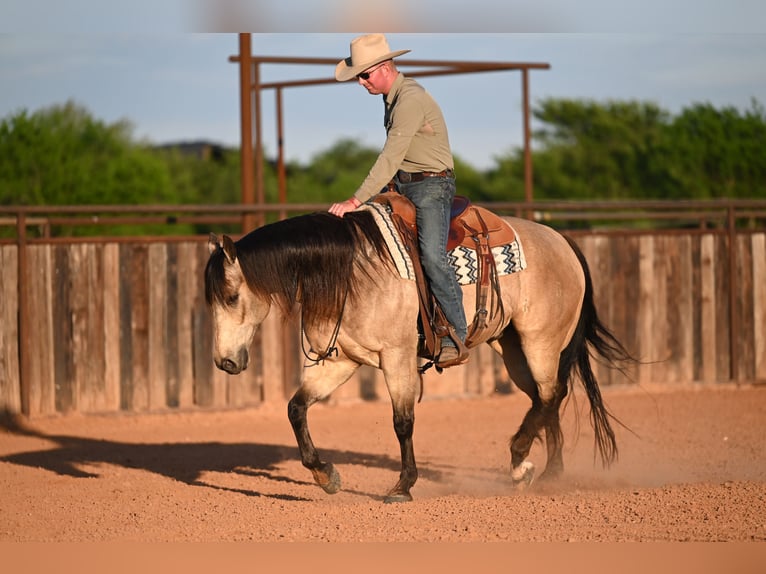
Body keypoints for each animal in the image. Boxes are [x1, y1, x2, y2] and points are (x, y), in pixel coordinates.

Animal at [204, 205, 632, 503]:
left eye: (231, 296)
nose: (225, 362)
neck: (352, 271)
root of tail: (561, 240)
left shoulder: (396, 356)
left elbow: (402, 422)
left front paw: (403, 486)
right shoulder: (342, 360)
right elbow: (296, 408)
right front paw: (326, 476)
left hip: (540, 341)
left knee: (552, 394)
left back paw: (522, 461)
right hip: (514, 349)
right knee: (547, 398)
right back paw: (543, 471)